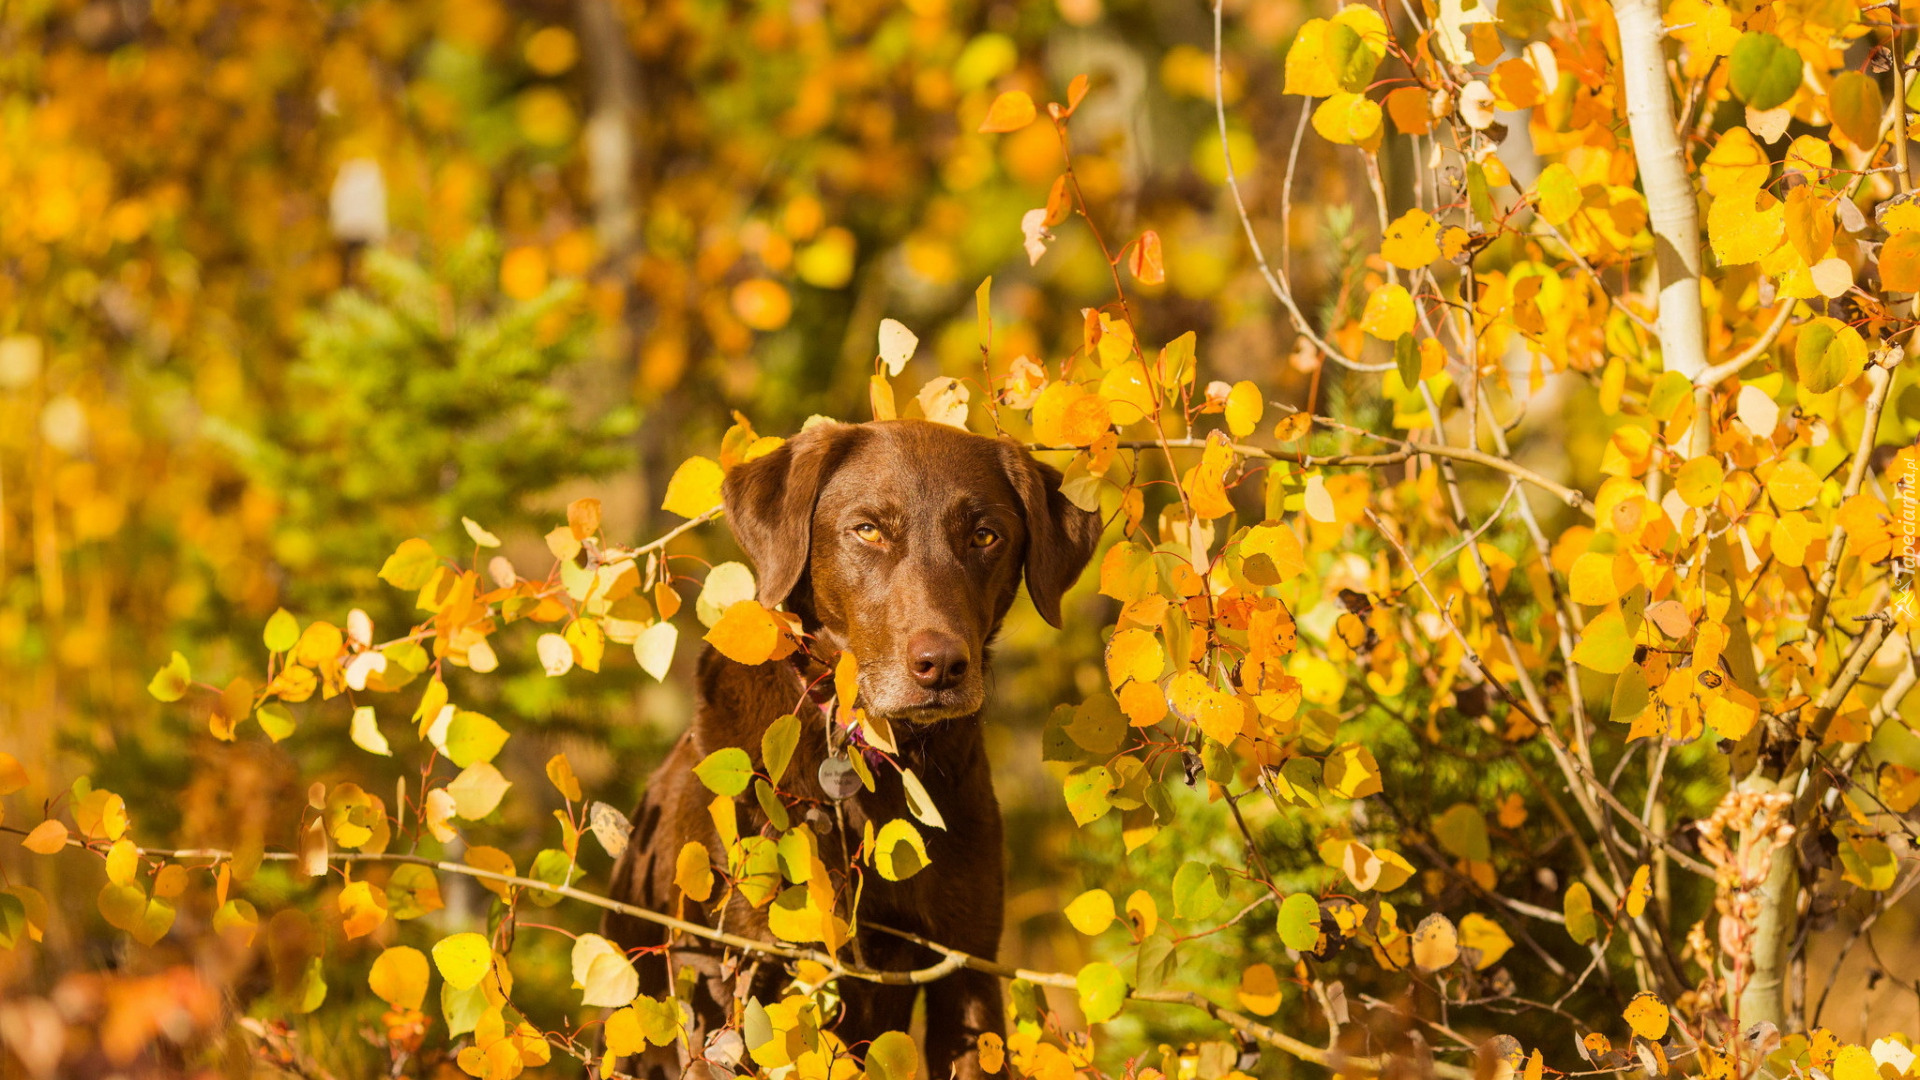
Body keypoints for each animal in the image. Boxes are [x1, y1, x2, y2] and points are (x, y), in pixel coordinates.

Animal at [606, 418, 1105, 1076]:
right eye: (867, 529)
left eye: (985, 535)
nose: (942, 666)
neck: (869, 768)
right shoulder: (729, 977)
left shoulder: (966, 964)